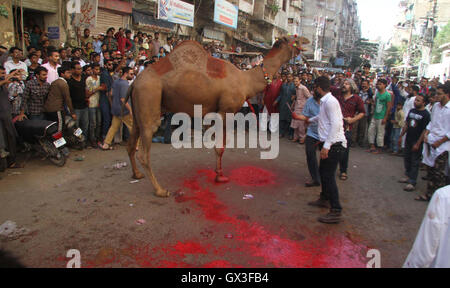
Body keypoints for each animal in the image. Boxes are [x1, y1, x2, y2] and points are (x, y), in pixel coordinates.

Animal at [125, 35, 312, 197]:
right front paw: (220, 176)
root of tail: (134, 83)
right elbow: (220, 147)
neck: (246, 81)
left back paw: (136, 174)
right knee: (144, 149)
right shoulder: (225, 111)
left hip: (138, 108)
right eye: (295, 39)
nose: (307, 40)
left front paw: (217, 172)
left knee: (132, 142)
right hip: (150, 95)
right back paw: (160, 190)